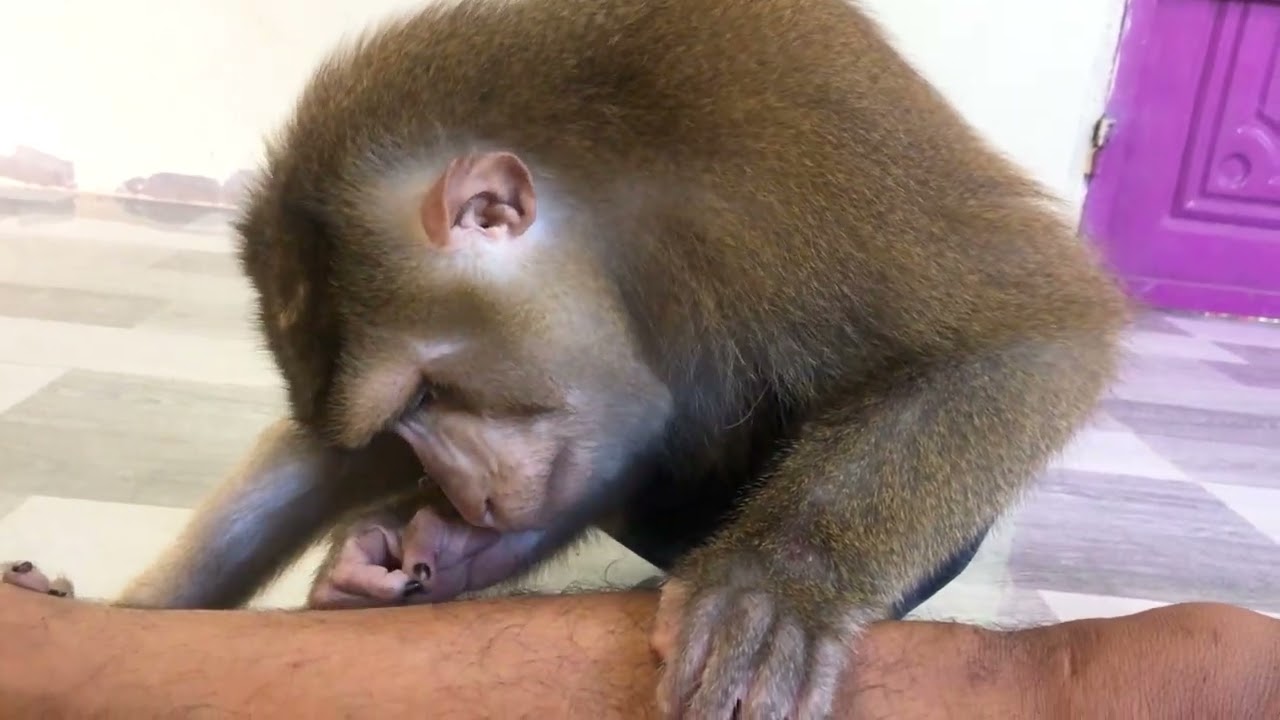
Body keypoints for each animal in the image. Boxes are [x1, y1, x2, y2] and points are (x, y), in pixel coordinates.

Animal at [5, 0, 1131, 717]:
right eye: (399, 418)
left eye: (431, 389)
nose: (459, 489)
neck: (615, 198)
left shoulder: (794, 144)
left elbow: (1029, 330)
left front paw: (780, 580)